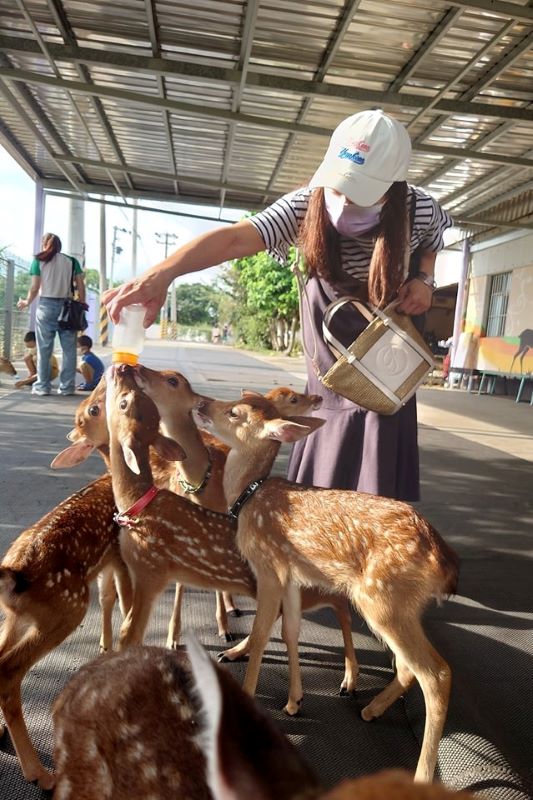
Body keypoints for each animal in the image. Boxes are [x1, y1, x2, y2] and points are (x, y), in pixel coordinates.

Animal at [0, 476, 131, 788]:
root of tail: (14, 571)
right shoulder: (122, 556)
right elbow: (127, 603)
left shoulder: (110, 561)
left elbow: (112, 599)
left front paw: (108, 649)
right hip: (68, 608)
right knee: (8, 669)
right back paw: (40, 774)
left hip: (16, 618)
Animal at [104, 366, 358, 704]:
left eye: (125, 403)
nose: (124, 368)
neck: (137, 502)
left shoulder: (150, 571)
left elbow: (130, 634)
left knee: (340, 610)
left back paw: (348, 682)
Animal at [193, 394, 460, 780]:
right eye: (239, 400)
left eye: (234, 412)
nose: (200, 404)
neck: (248, 498)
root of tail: (445, 563)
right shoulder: (290, 576)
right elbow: (289, 630)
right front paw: (294, 701)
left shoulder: (269, 567)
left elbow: (260, 635)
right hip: (400, 606)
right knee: (410, 667)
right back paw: (371, 709)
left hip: (382, 600)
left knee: (436, 673)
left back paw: (421, 774)